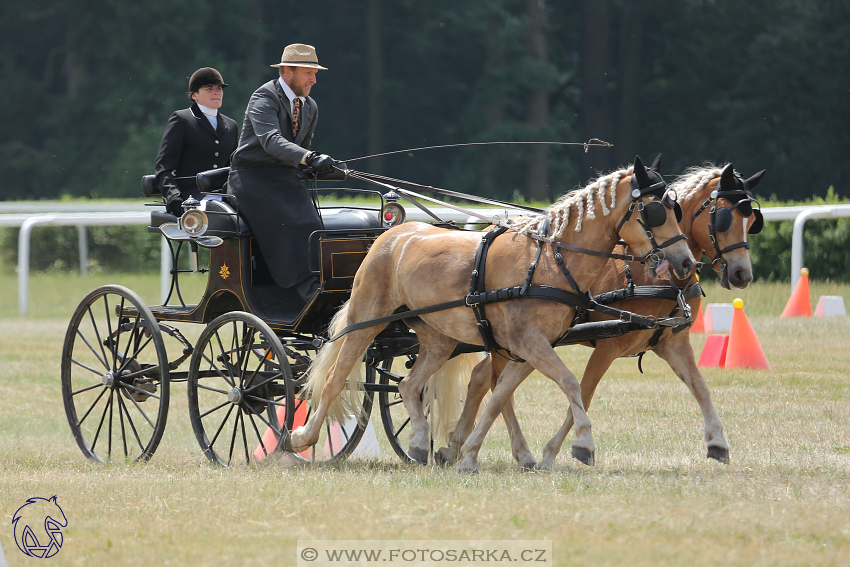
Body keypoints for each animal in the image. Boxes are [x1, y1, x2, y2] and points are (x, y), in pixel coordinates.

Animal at [288, 154, 692, 466]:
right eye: (656, 211)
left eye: (677, 208)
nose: (686, 262)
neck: (549, 261)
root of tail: (392, 233)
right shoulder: (528, 342)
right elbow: (567, 381)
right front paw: (583, 444)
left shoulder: (527, 347)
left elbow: (498, 396)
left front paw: (468, 452)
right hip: (365, 319)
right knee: (335, 377)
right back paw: (301, 438)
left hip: (438, 338)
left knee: (408, 384)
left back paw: (418, 444)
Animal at [438, 163, 760, 470]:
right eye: (724, 218)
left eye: (752, 222)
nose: (742, 274)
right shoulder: (608, 346)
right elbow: (584, 391)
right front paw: (563, 450)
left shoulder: (671, 343)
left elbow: (699, 385)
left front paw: (717, 442)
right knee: (494, 384)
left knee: (484, 379)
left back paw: (458, 445)